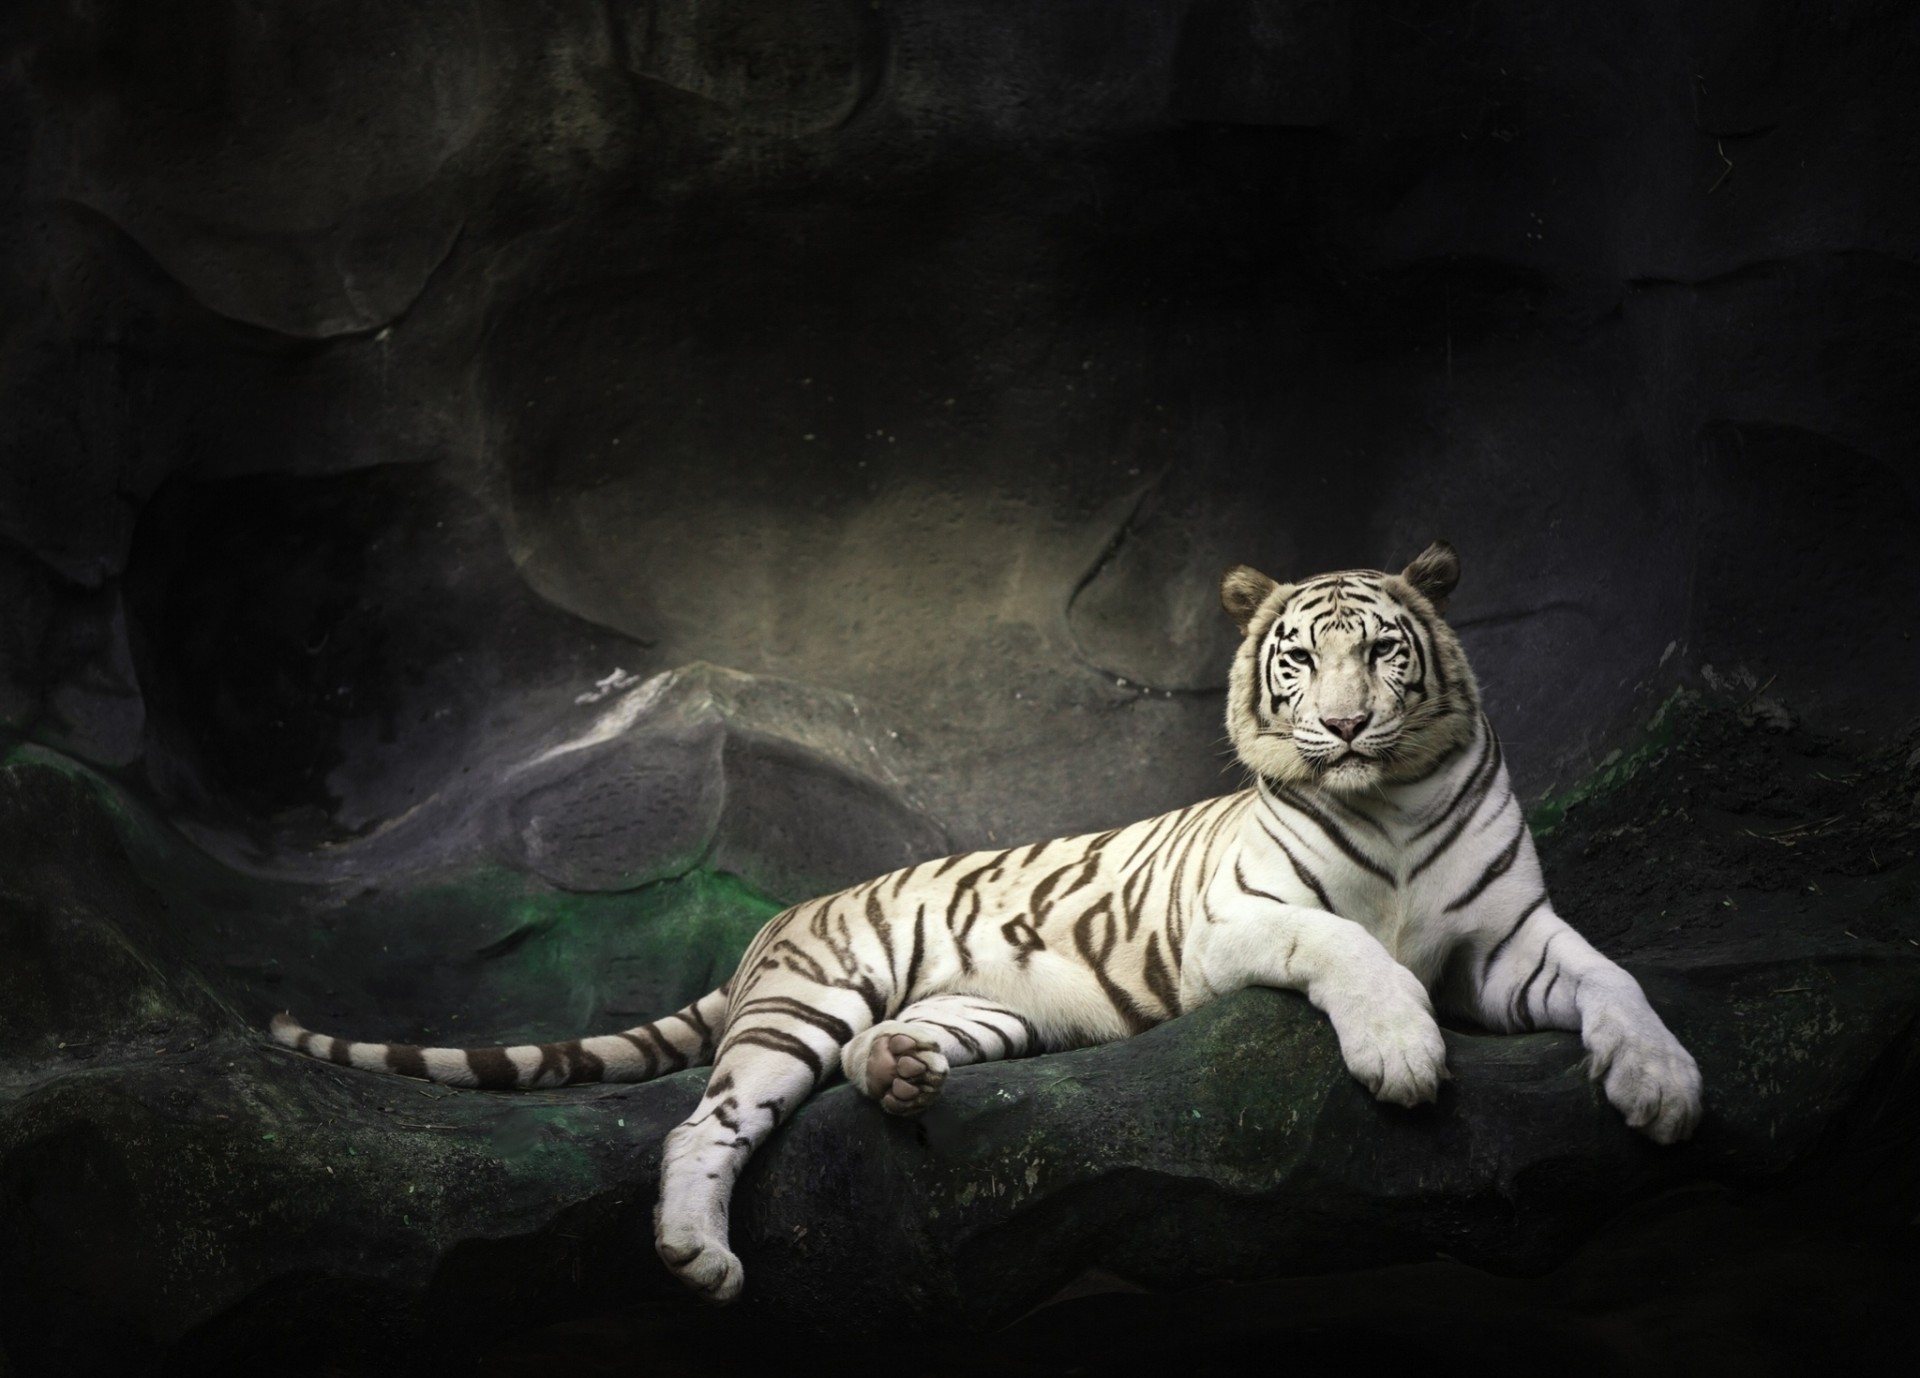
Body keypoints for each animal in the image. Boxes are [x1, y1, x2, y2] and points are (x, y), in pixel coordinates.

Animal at [270, 541, 1703, 1304]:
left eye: (1387, 653)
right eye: (1301, 659)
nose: (1345, 725)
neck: (1390, 800)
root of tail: (772, 927)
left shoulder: (1509, 941)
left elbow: (1617, 979)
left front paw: (1667, 1086)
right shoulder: (1238, 920)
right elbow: (1345, 944)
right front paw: (1401, 1056)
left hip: (981, 1005)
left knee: (878, 1059)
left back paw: (904, 1073)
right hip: (809, 1002)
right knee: (705, 1120)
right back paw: (697, 1253)